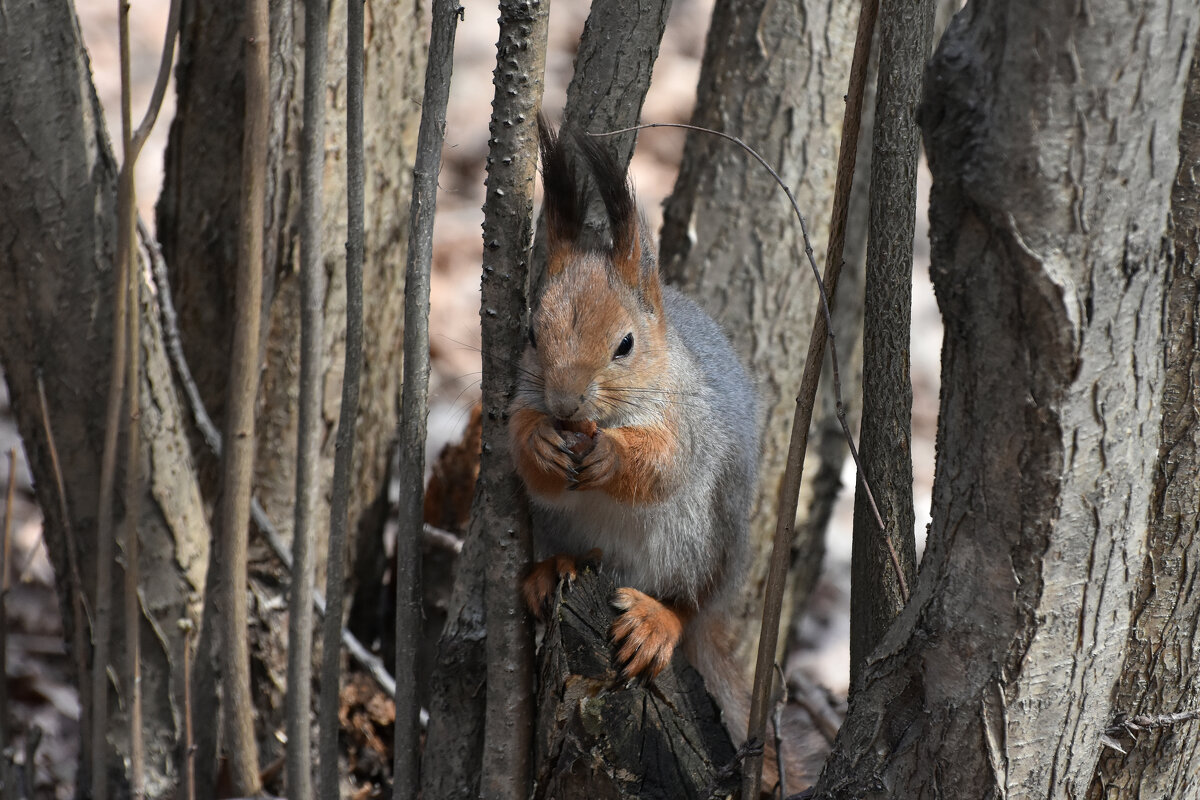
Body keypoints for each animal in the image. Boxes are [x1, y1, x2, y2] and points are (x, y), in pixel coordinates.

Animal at [511, 115, 763, 767]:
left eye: (625, 344)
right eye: (531, 333)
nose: (565, 405)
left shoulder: (691, 422)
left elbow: (662, 463)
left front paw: (612, 456)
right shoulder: (521, 401)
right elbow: (522, 456)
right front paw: (543, 444)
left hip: (705, 541)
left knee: (689, 606)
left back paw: (657, 621)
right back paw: (556, 569)